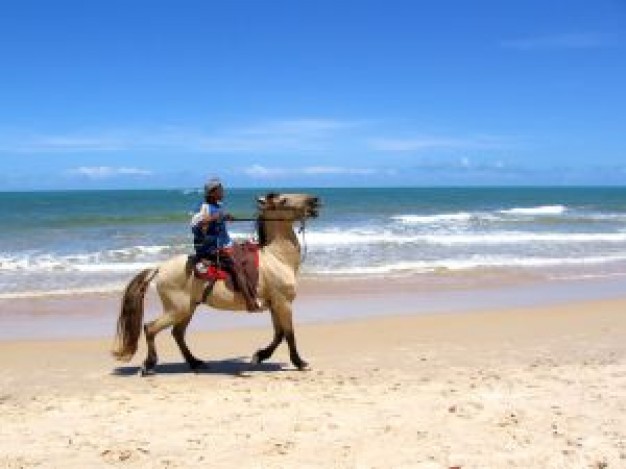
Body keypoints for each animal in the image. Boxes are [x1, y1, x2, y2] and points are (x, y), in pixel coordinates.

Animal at [109, 192, 320, 374]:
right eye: (284, 200)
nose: (315, 201)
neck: (277, 258)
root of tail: (160, 268)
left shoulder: (275, 305)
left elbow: (280, 334)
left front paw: (260, 356)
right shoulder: (283, 303)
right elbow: (289, 334)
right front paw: (300, 363)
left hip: (187, 309)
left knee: (177, 334)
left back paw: (195, 362)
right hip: (177, 310)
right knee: (150, 328)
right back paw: (148, 365)